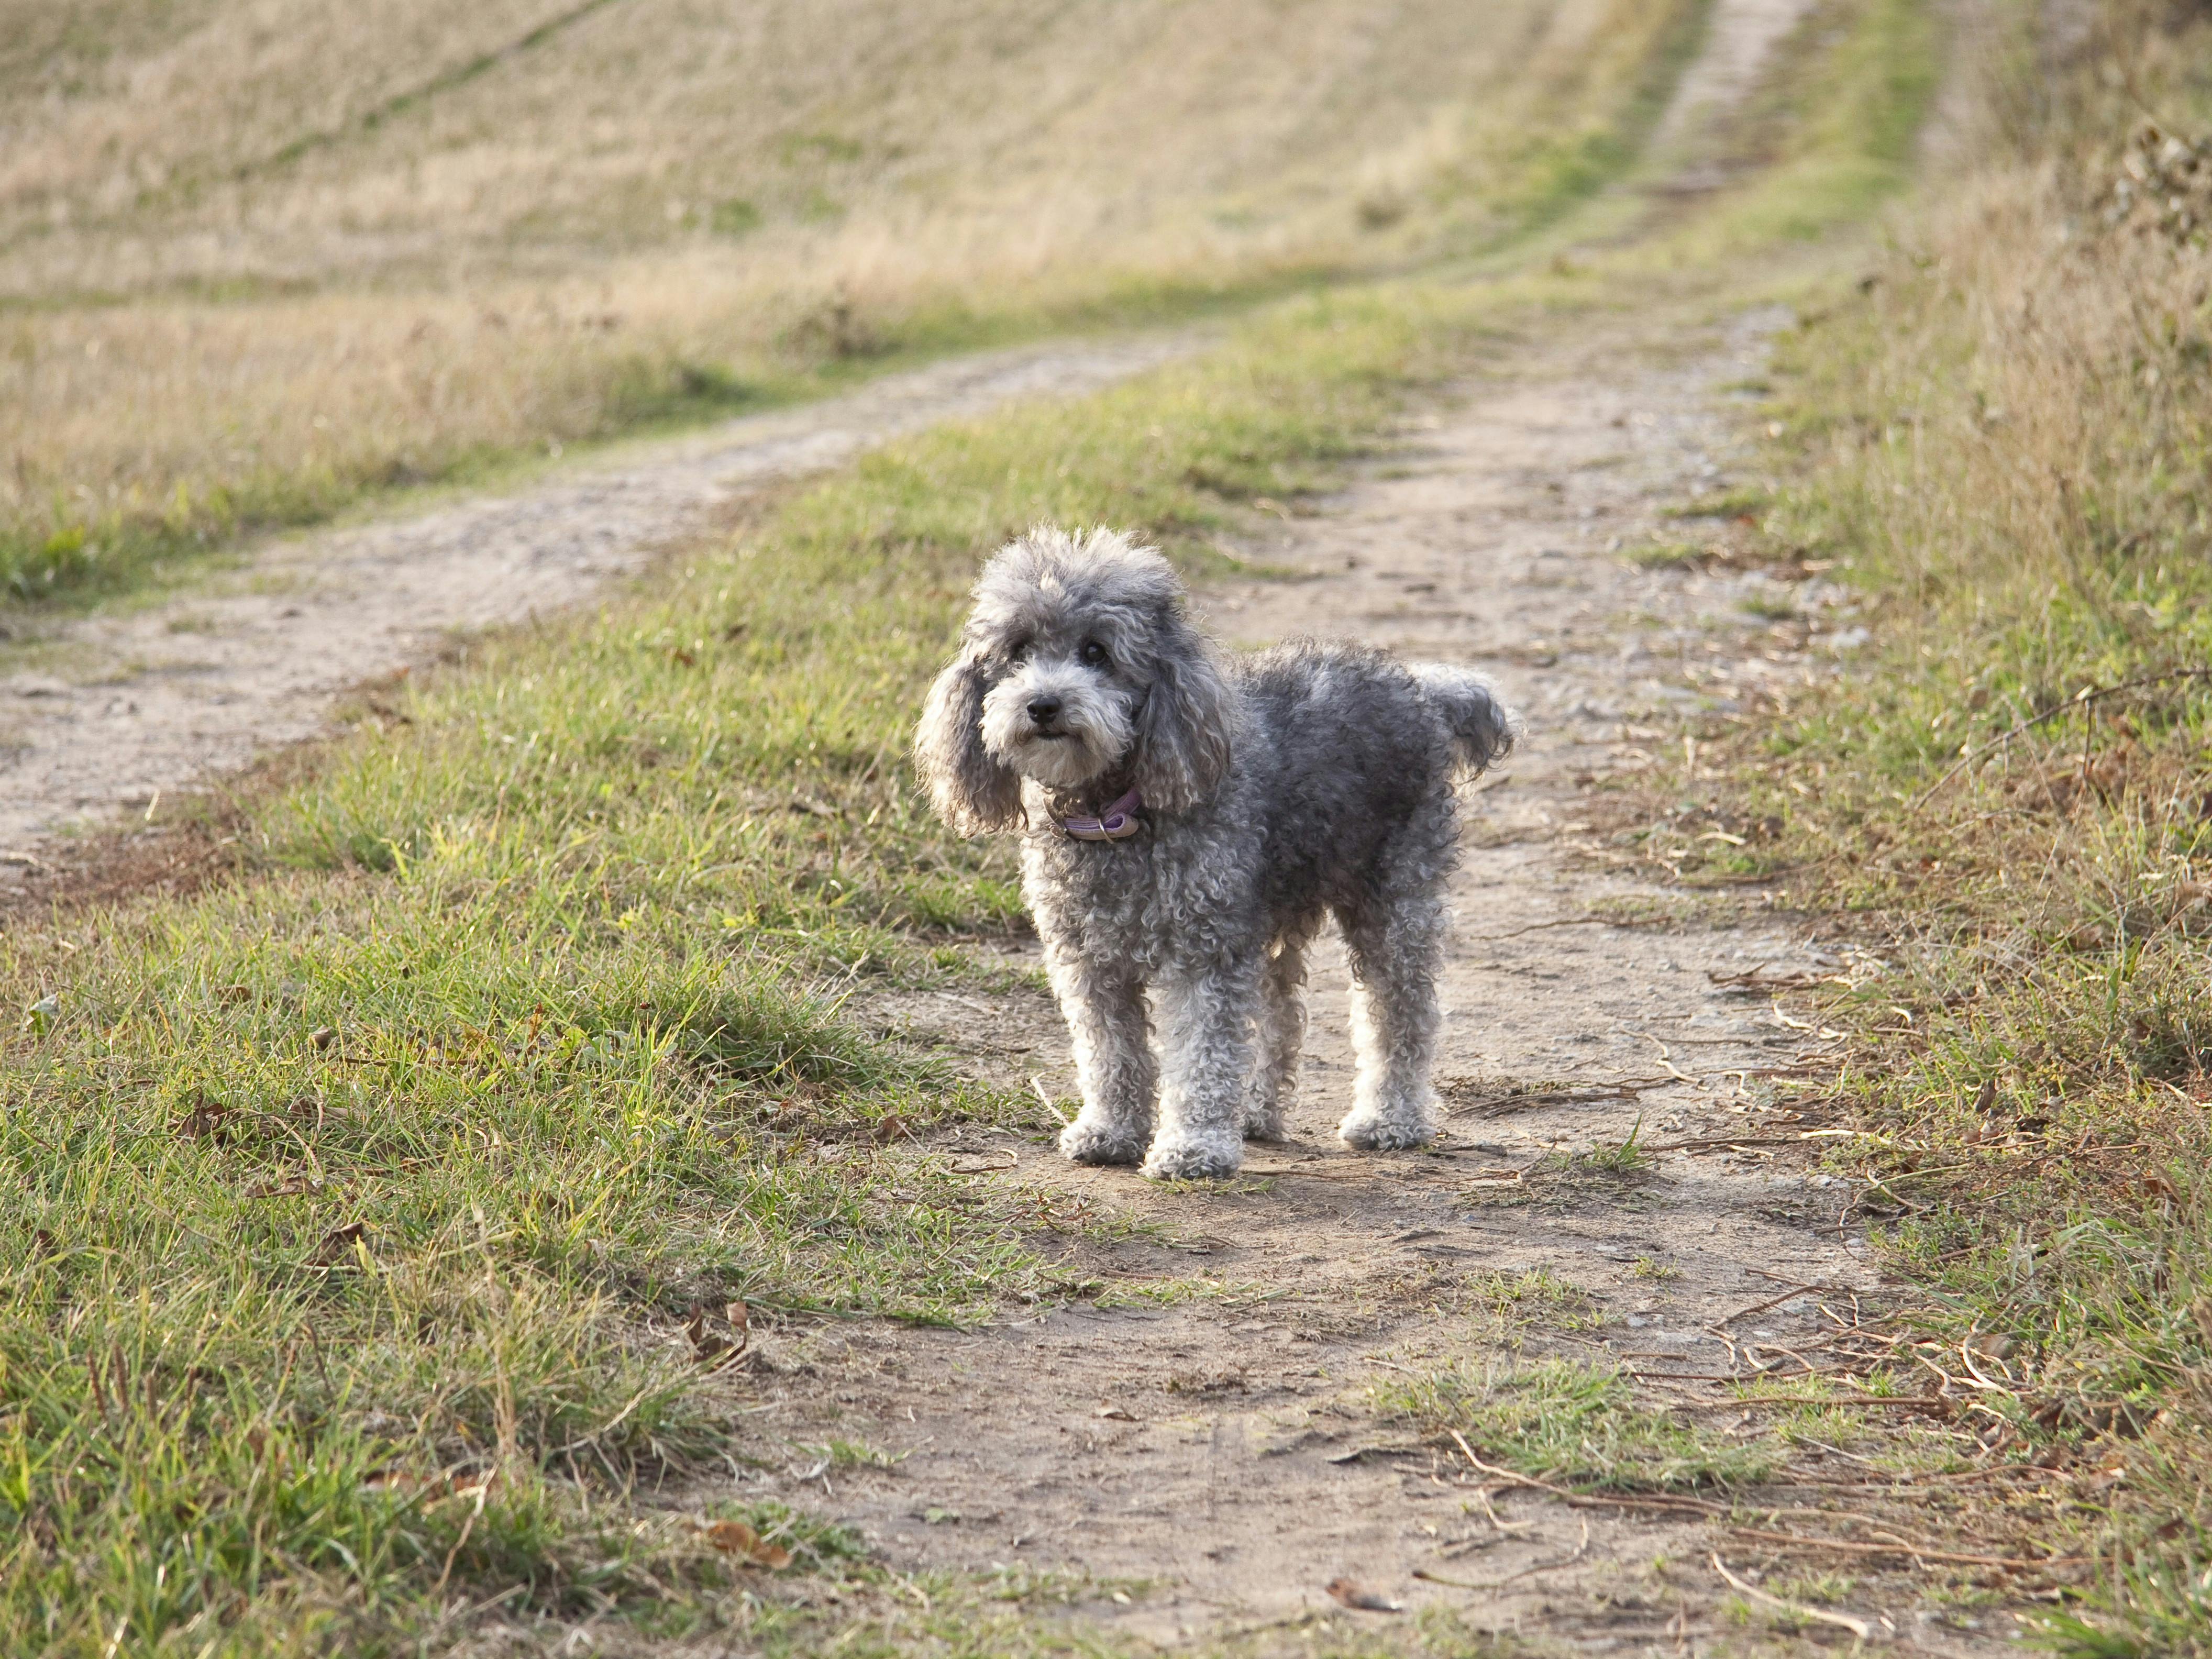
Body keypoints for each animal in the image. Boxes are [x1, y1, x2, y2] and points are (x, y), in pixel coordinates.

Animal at [906, 528, 1513, 1186]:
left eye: (1097, 651)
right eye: (1017, 652)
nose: (1042, 705)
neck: (1115, 813)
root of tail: (1423, 693)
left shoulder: (1205, 950)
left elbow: (1203, 1051)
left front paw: (1194, 1146)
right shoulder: (1089, 960)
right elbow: (1111, 1053)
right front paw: (1111, 1131)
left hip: (1392, 900)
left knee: (1400, 1012)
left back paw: (1391, 1119)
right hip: (1272, 916)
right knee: (1279, 1017)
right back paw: (1254, 1112)